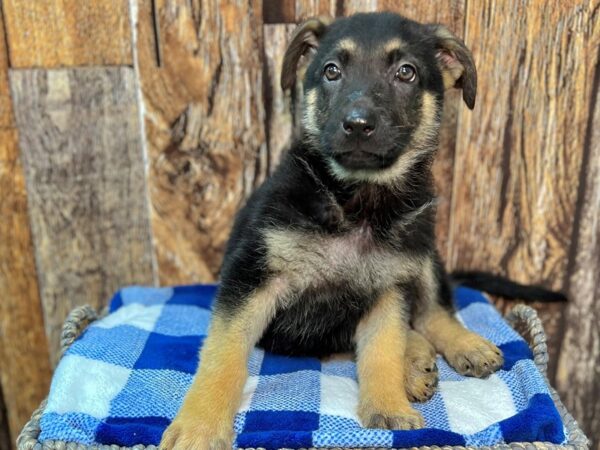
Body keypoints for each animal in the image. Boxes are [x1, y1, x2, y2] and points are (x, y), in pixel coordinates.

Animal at [162, 12, 564, 448]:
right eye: (331, 71)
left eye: (406, 72)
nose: (357, 125)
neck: (358, 201)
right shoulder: (253, 276)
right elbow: (225, 355)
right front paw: (201, 426)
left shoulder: (389, 284)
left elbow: (383, 350)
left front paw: (388, 409)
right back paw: (417, 360)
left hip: (422, 249)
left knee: (432, 311)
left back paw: (460, 346)